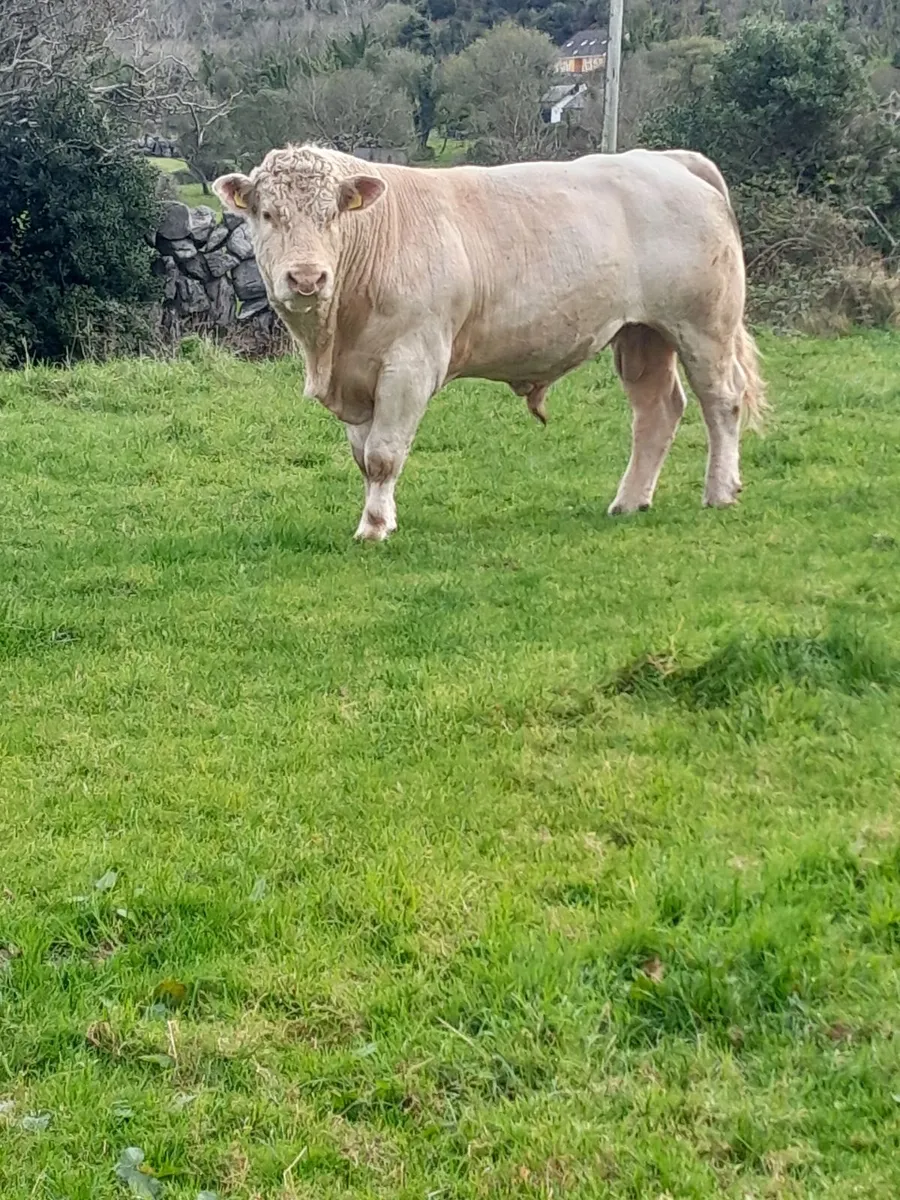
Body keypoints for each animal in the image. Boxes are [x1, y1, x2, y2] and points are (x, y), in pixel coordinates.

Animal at [213, 145, 765, 542]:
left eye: (333, 215)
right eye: (268, 215)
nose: (307, 277)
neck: (332, 342)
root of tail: (669, 160)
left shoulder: (410, 363)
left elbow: (384, 455)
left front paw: (374, 528)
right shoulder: (358, 375)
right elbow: (363, 456)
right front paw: (381, 515)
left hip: (703, 326)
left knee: (722, 401)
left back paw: (720, 491)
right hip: (643, 334)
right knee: (657, 410)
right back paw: (629, 501)